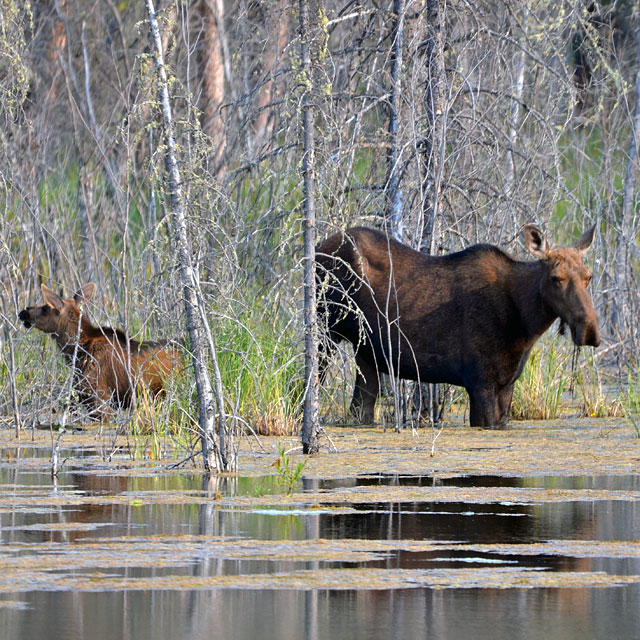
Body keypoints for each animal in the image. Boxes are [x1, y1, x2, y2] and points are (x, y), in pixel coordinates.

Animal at [318, 225, 604, 430]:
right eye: (556, 278)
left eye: (589, 276)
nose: (590, 330)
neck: (525, 324)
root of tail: (318, 246)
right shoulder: (480, 384)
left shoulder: (506, 385)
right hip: (324, 336)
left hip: (367, 353)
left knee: (360, 407)